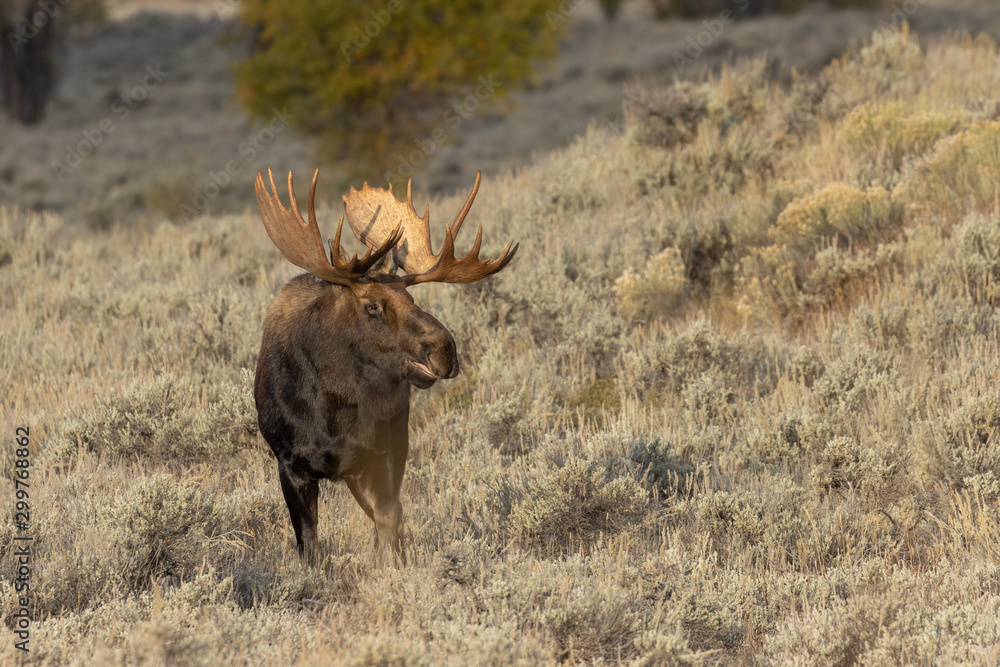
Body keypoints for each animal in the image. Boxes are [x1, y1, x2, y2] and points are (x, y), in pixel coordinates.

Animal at [253, 167, 517, 567]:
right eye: (372, 305)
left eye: (411, 297)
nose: (445, 350)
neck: (333, 410)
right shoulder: (290, 463)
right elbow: (310, 546)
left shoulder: (385, 451)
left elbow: (389, 520)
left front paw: (391, 569)